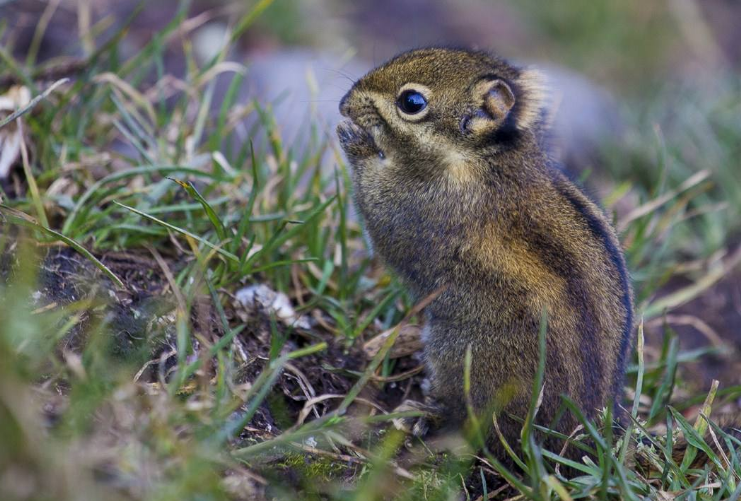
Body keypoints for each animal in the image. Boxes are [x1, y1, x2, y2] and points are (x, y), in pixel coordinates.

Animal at [336, 48, 740, 466]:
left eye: (411, 102)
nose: (344, 103)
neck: (481, 158)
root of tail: (584, 440)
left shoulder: (423, 211)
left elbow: (384, 220)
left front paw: (355, 143)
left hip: (464, 359)